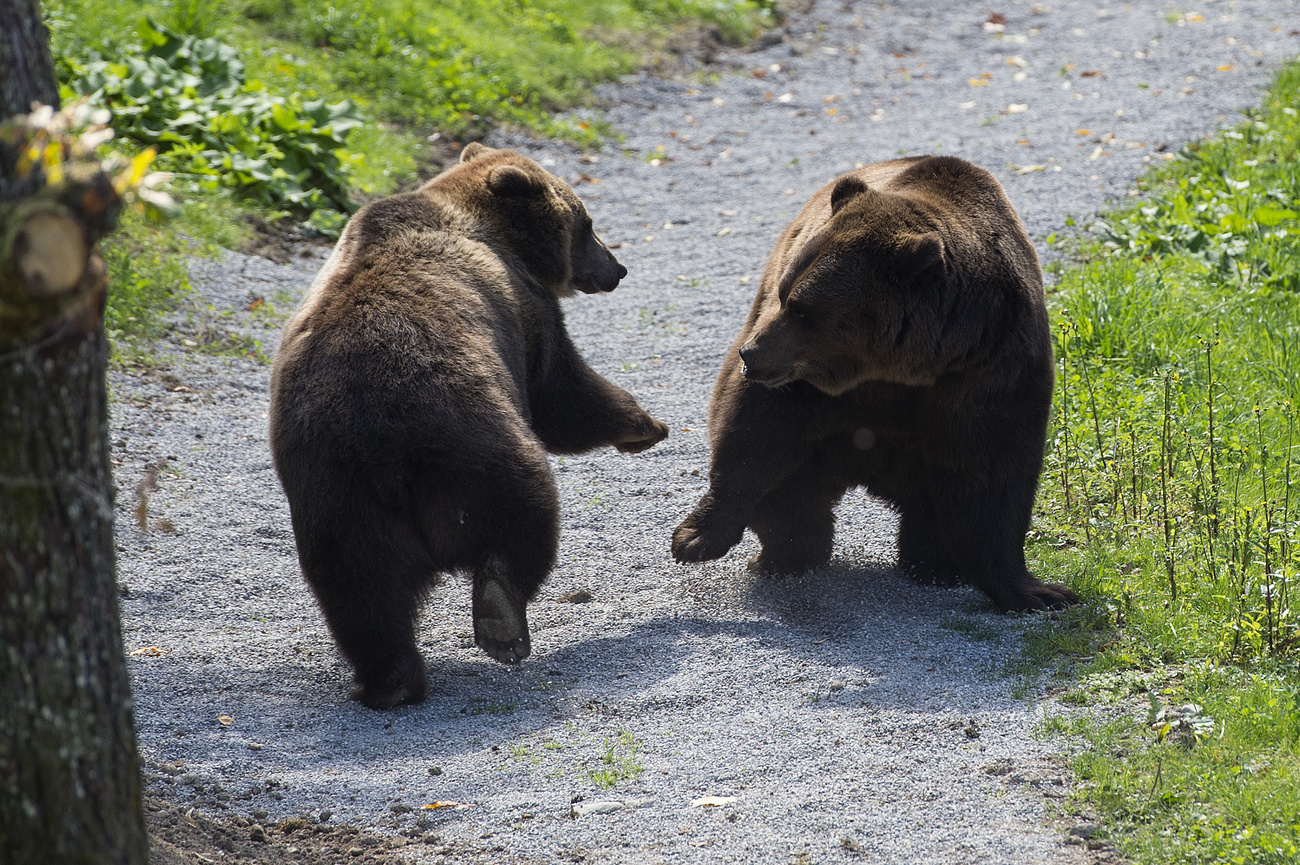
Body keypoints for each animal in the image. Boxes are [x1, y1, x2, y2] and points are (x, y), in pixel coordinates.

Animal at [269, 143, 669, 709]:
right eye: (587, 224)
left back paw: (392, 681)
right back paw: (501, 620)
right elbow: (563, 393)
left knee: (361, 593)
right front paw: (644, 424)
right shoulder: (526, 312)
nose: (617, 268)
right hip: (470, 441)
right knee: (523, 512)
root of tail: (383, 450)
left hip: (336, 497)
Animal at [671, 155, 1076, 612]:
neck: (894, 365)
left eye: (804, 310)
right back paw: (788, 555)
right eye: (785, 293)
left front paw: (1039, 591)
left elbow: (992, 469)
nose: (750, 353)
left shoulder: (988, 364)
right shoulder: (805, 383)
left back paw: (934, 565)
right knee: (789, 489)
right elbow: (754, 433)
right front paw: (695, 538)